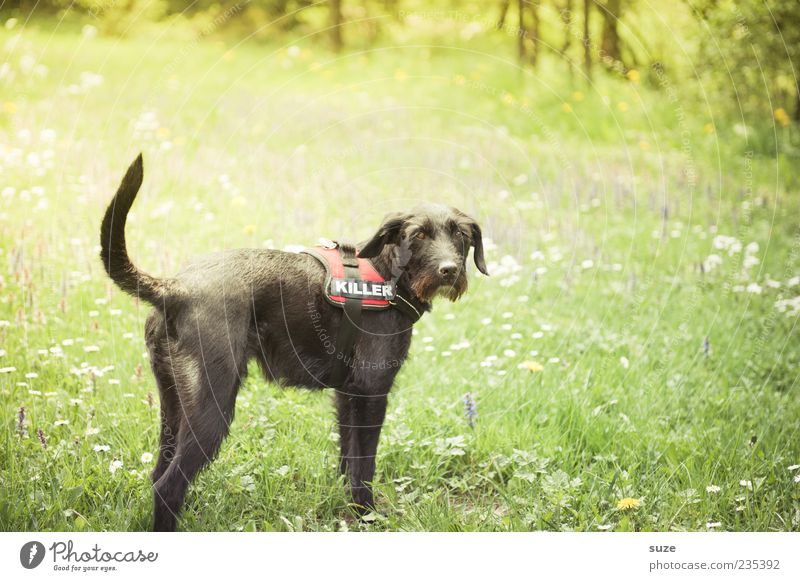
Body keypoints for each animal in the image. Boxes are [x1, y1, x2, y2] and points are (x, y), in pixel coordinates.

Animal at [100, 154, 488, 532]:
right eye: (418, 234)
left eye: (460, 234)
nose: (449, 270)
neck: (385, 274)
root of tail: (176, 289)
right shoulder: (372, 392)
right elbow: (365, 466)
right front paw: (367, 516)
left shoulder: (348, 395)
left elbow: (348, 460)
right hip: (212, 410)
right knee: (168, 485)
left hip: (174, 405)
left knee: (159, 473)